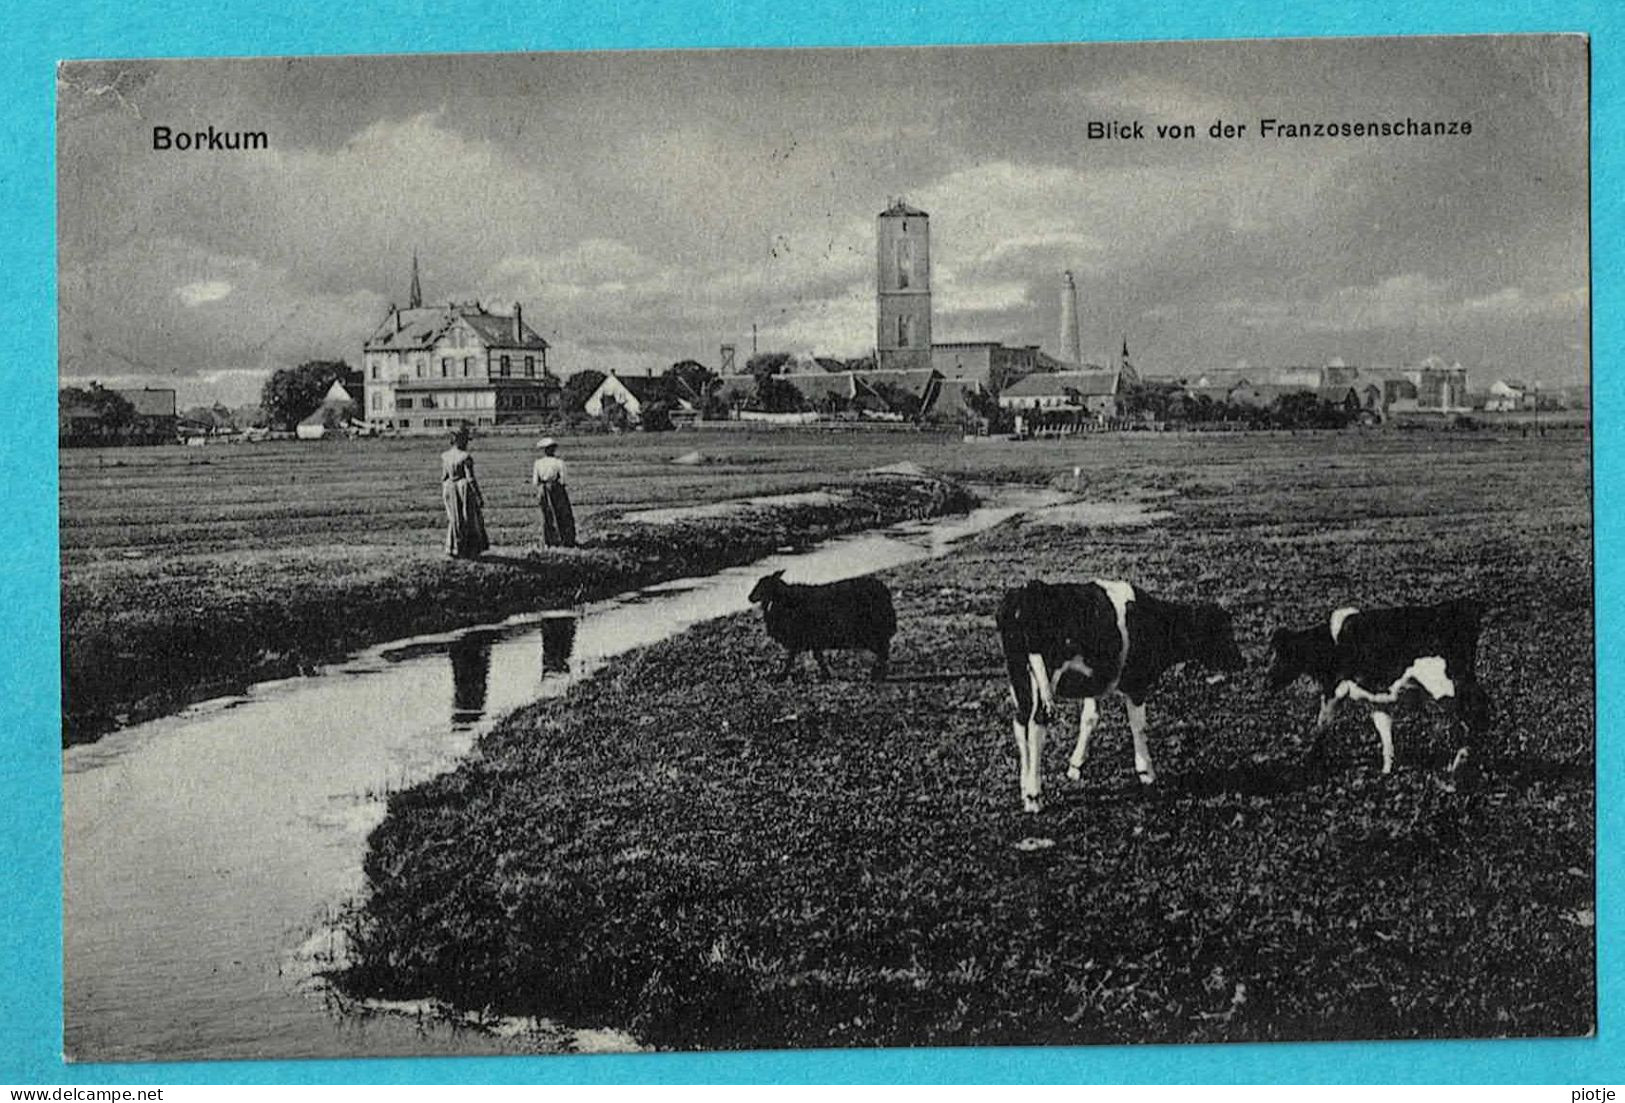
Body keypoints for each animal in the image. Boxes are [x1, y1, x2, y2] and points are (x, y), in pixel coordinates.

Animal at [744, 568, 897, 682]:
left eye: (764, 585)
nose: (749, 597)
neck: (781, 600)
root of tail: (885, 591)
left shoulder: (798, 637)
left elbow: (791, 659)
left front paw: (781, 676)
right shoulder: (811, 639)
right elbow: (818, 657)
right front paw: (826, 674)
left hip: (872, 631)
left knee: (883, 651)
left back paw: (877, 674)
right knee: (883, 651)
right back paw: (878, 673)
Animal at [988, 581, 1241, 815]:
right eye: (1221, 631)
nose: (1240, 661)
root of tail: (1028, 591)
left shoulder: (1095, 681)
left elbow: (1089, 719)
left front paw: (1075, 766)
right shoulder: (1136, 684)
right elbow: (1139, 727)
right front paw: (1147, 773)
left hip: (1019, 677)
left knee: (1020, 723)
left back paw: (1025, 787)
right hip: (1043, 676)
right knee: (1036, 724)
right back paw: (1034, 796)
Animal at [1261, 594, 1488, 776]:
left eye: (1282, 655)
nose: (1267, 682)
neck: (1330, 644)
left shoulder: (1334, 689)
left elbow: (1321, 725)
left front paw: (1309, 763)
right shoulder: (1378, 699)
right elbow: (1385, 733)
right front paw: (1386, 771)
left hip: (1446, 685)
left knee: (1477, 715)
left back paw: (1460, 765)